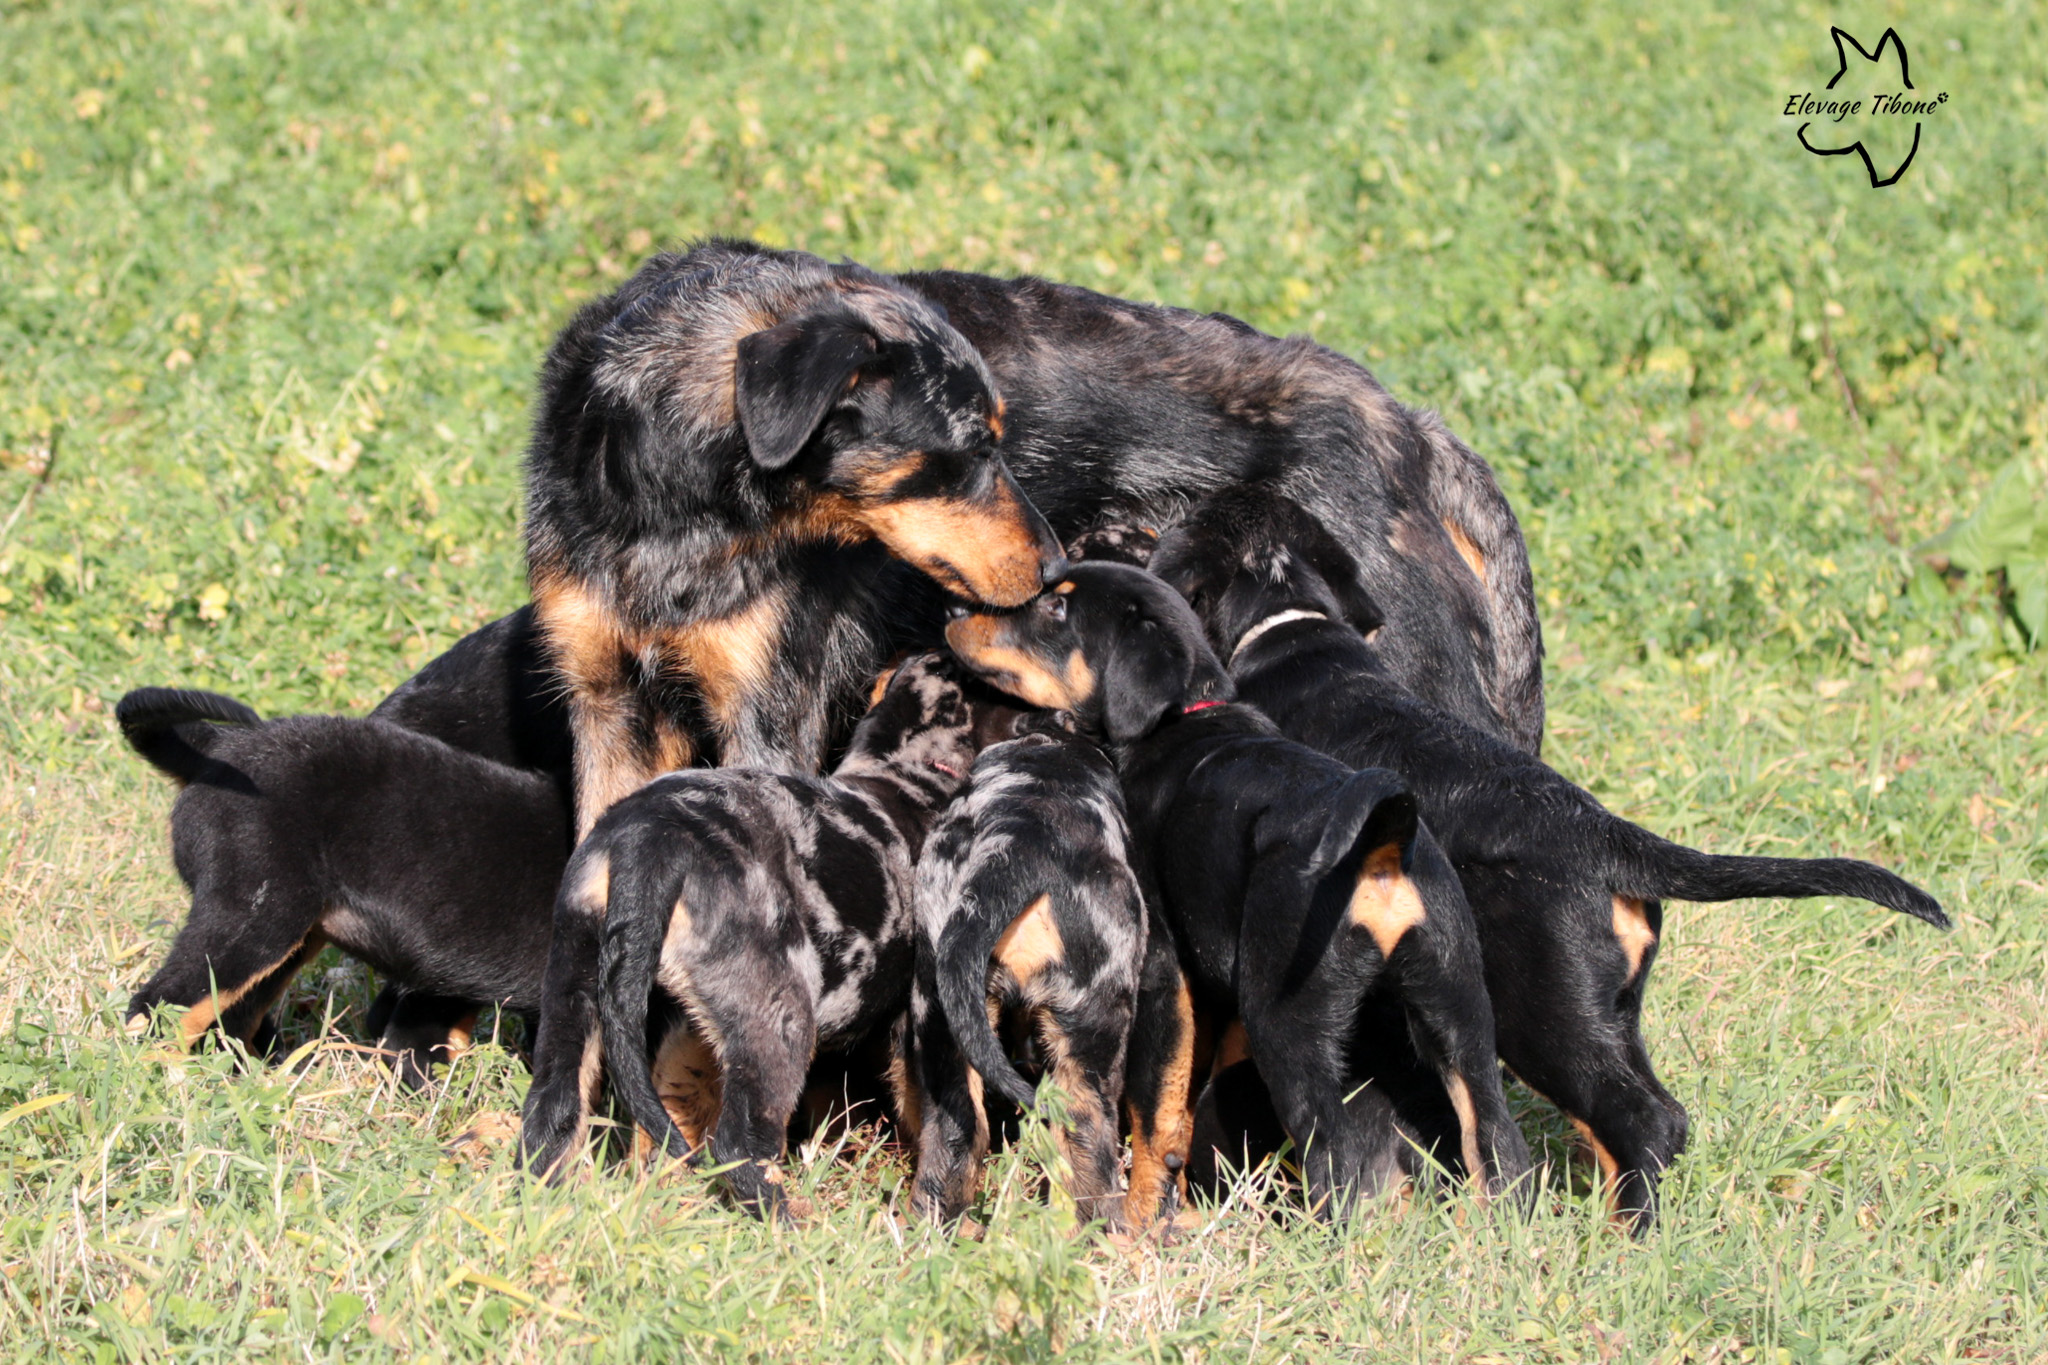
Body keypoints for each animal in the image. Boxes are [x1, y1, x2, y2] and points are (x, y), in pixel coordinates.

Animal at [520, 654, 983, 1219]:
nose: (938, 654)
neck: (901, 778)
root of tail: (649, 841)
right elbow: (944, 1123)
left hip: (574, 987)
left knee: (551, 1114)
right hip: (777, 1023)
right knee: (739, 1147)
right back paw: (788, 1222)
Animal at [937, 564, 1531, 1227]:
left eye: (1057, 612)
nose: (954, 611)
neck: (1183, 714)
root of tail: (1383, 837)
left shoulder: (1163, 970)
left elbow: (1159, 1106)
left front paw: (1140, 1219)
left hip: (1290, 1021)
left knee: (1337, 1154)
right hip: (1458, 1005)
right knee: (1496, 1140)